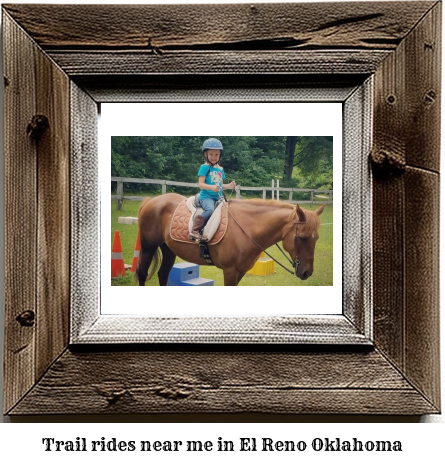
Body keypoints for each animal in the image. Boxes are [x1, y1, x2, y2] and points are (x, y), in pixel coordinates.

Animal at [135, 190, 322, 284]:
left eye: (316, 238)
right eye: (303, 237)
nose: (307, 272)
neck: (246, 228)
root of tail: (152, 201)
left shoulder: (241, 272)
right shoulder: (230, 271)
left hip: (168, 249)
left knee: (163, 275)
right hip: (148, 247)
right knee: (142, 273)